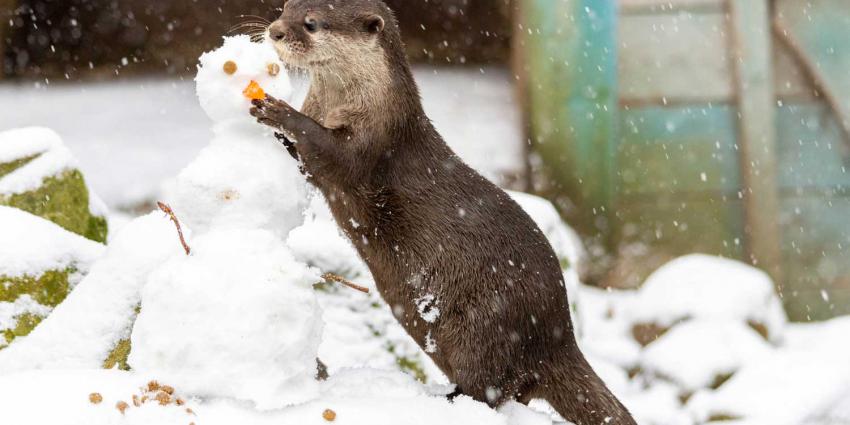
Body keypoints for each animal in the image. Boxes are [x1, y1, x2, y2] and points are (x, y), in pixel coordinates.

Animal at [248, 1, 632, 422]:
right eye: (287, 7)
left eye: (312, 23)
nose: (275, 31)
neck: (355, 103)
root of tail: (559, 337)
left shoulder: (374, 143)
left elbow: (332, 155)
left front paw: (277, 111)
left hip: (486, 327)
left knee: (492, 388)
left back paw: (446, 399)